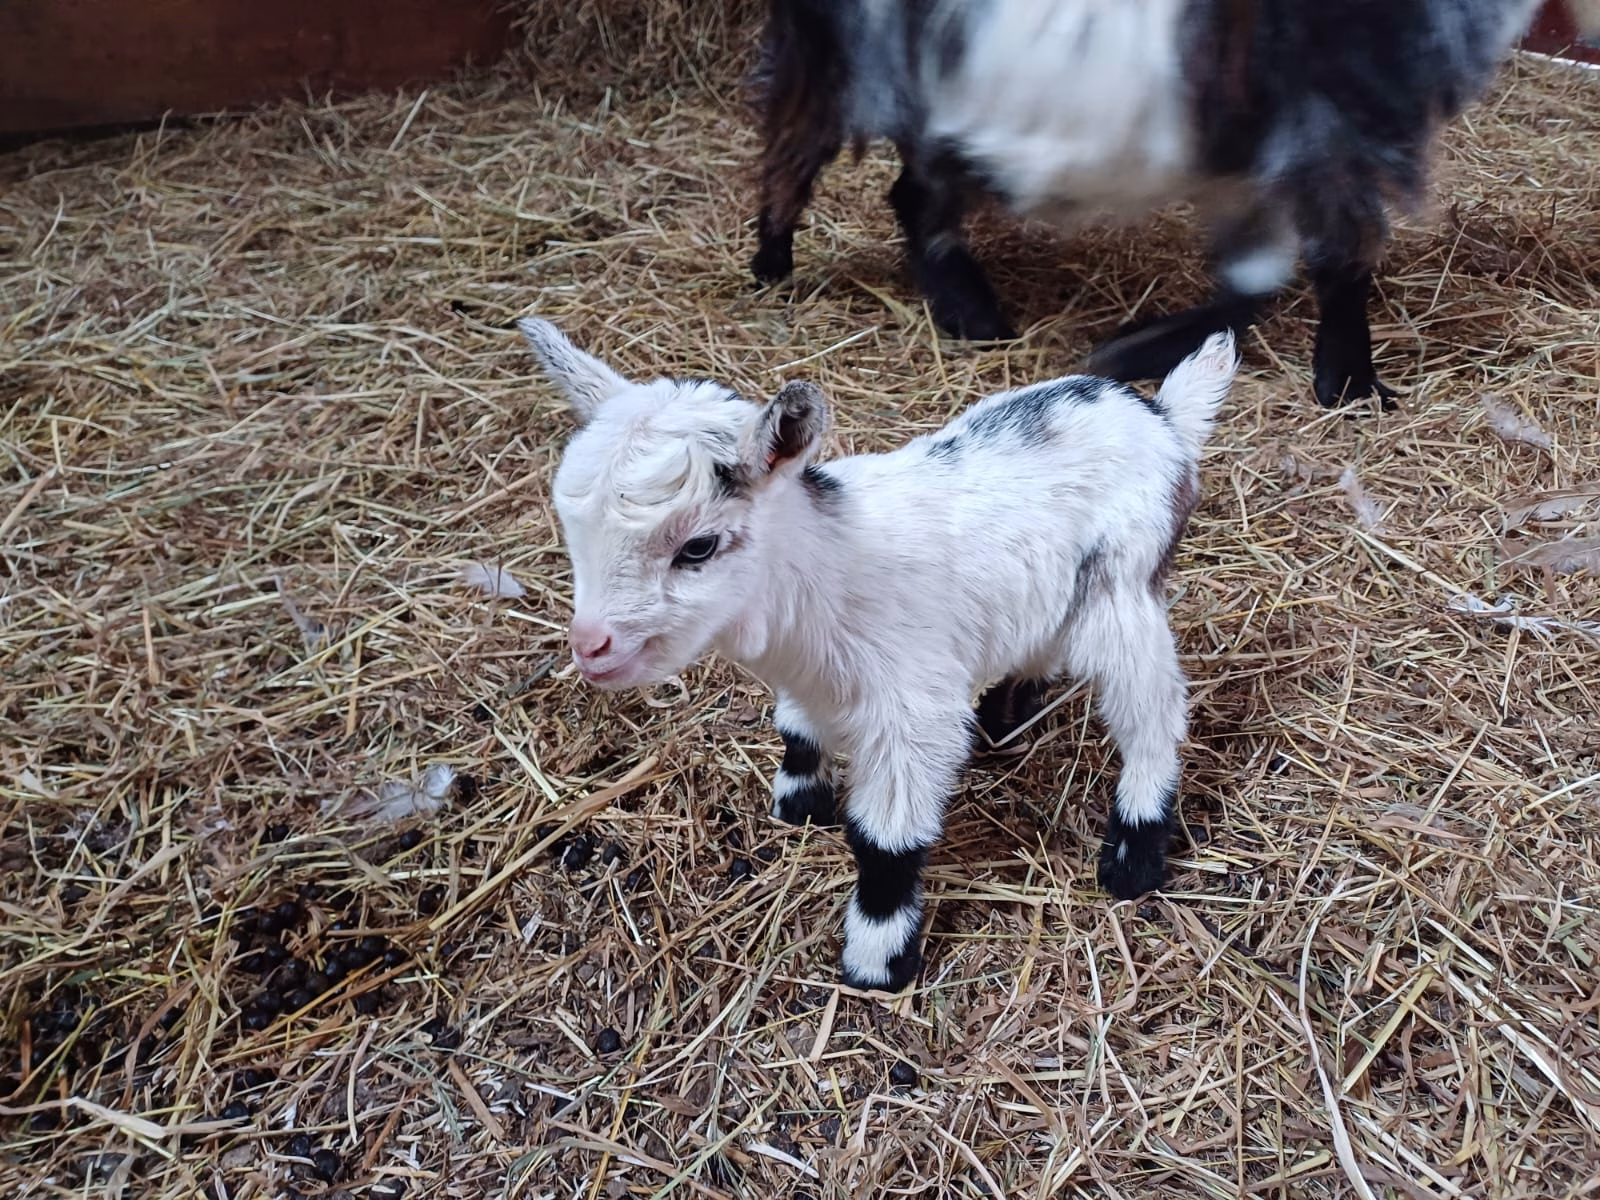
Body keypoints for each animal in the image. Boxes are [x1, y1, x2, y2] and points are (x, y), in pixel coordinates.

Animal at [517, 316, 1237, 992]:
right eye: (575, 530)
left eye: (698, 547)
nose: (591, 648)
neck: (830, 572)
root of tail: (1162, 415)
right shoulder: (808, 676)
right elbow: (795, 730)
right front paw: (800, 800)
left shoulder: (912, 715)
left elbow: (884, 841)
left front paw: (877, 958)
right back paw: (1005, 716)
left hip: (1124, 583)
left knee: (1153, 705)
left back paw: (1134, 851)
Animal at [748, 0, 1553, 410]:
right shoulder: (1324, 132)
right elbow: (1335, 261)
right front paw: (1352, 384)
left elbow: (1261, 279)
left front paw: (1140, 349)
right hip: (844, 59)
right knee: (801, 149)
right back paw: (775, 268)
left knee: (912, 189)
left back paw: (965, 310)